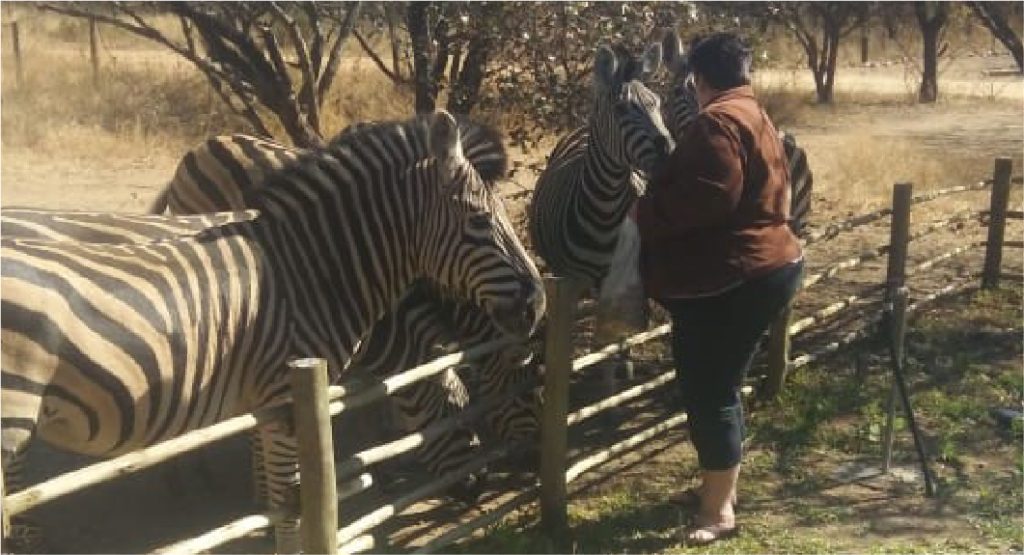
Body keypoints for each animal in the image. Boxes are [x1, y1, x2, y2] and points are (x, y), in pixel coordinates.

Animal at [1, 111, 544, 553]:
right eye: (479, 219)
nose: (538, 302)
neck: (308, 271)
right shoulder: (288, 396)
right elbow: (294, 501)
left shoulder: (261, 397)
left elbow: (276, 483)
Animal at [528, 43, 675, 397]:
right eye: (622, 109)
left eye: (657, 103)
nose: (670, 151)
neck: (604, 215)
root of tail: (582, 128)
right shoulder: (574, 279)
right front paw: (604, 376)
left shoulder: (627, 273)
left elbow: (624, 324)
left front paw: (624, 366)